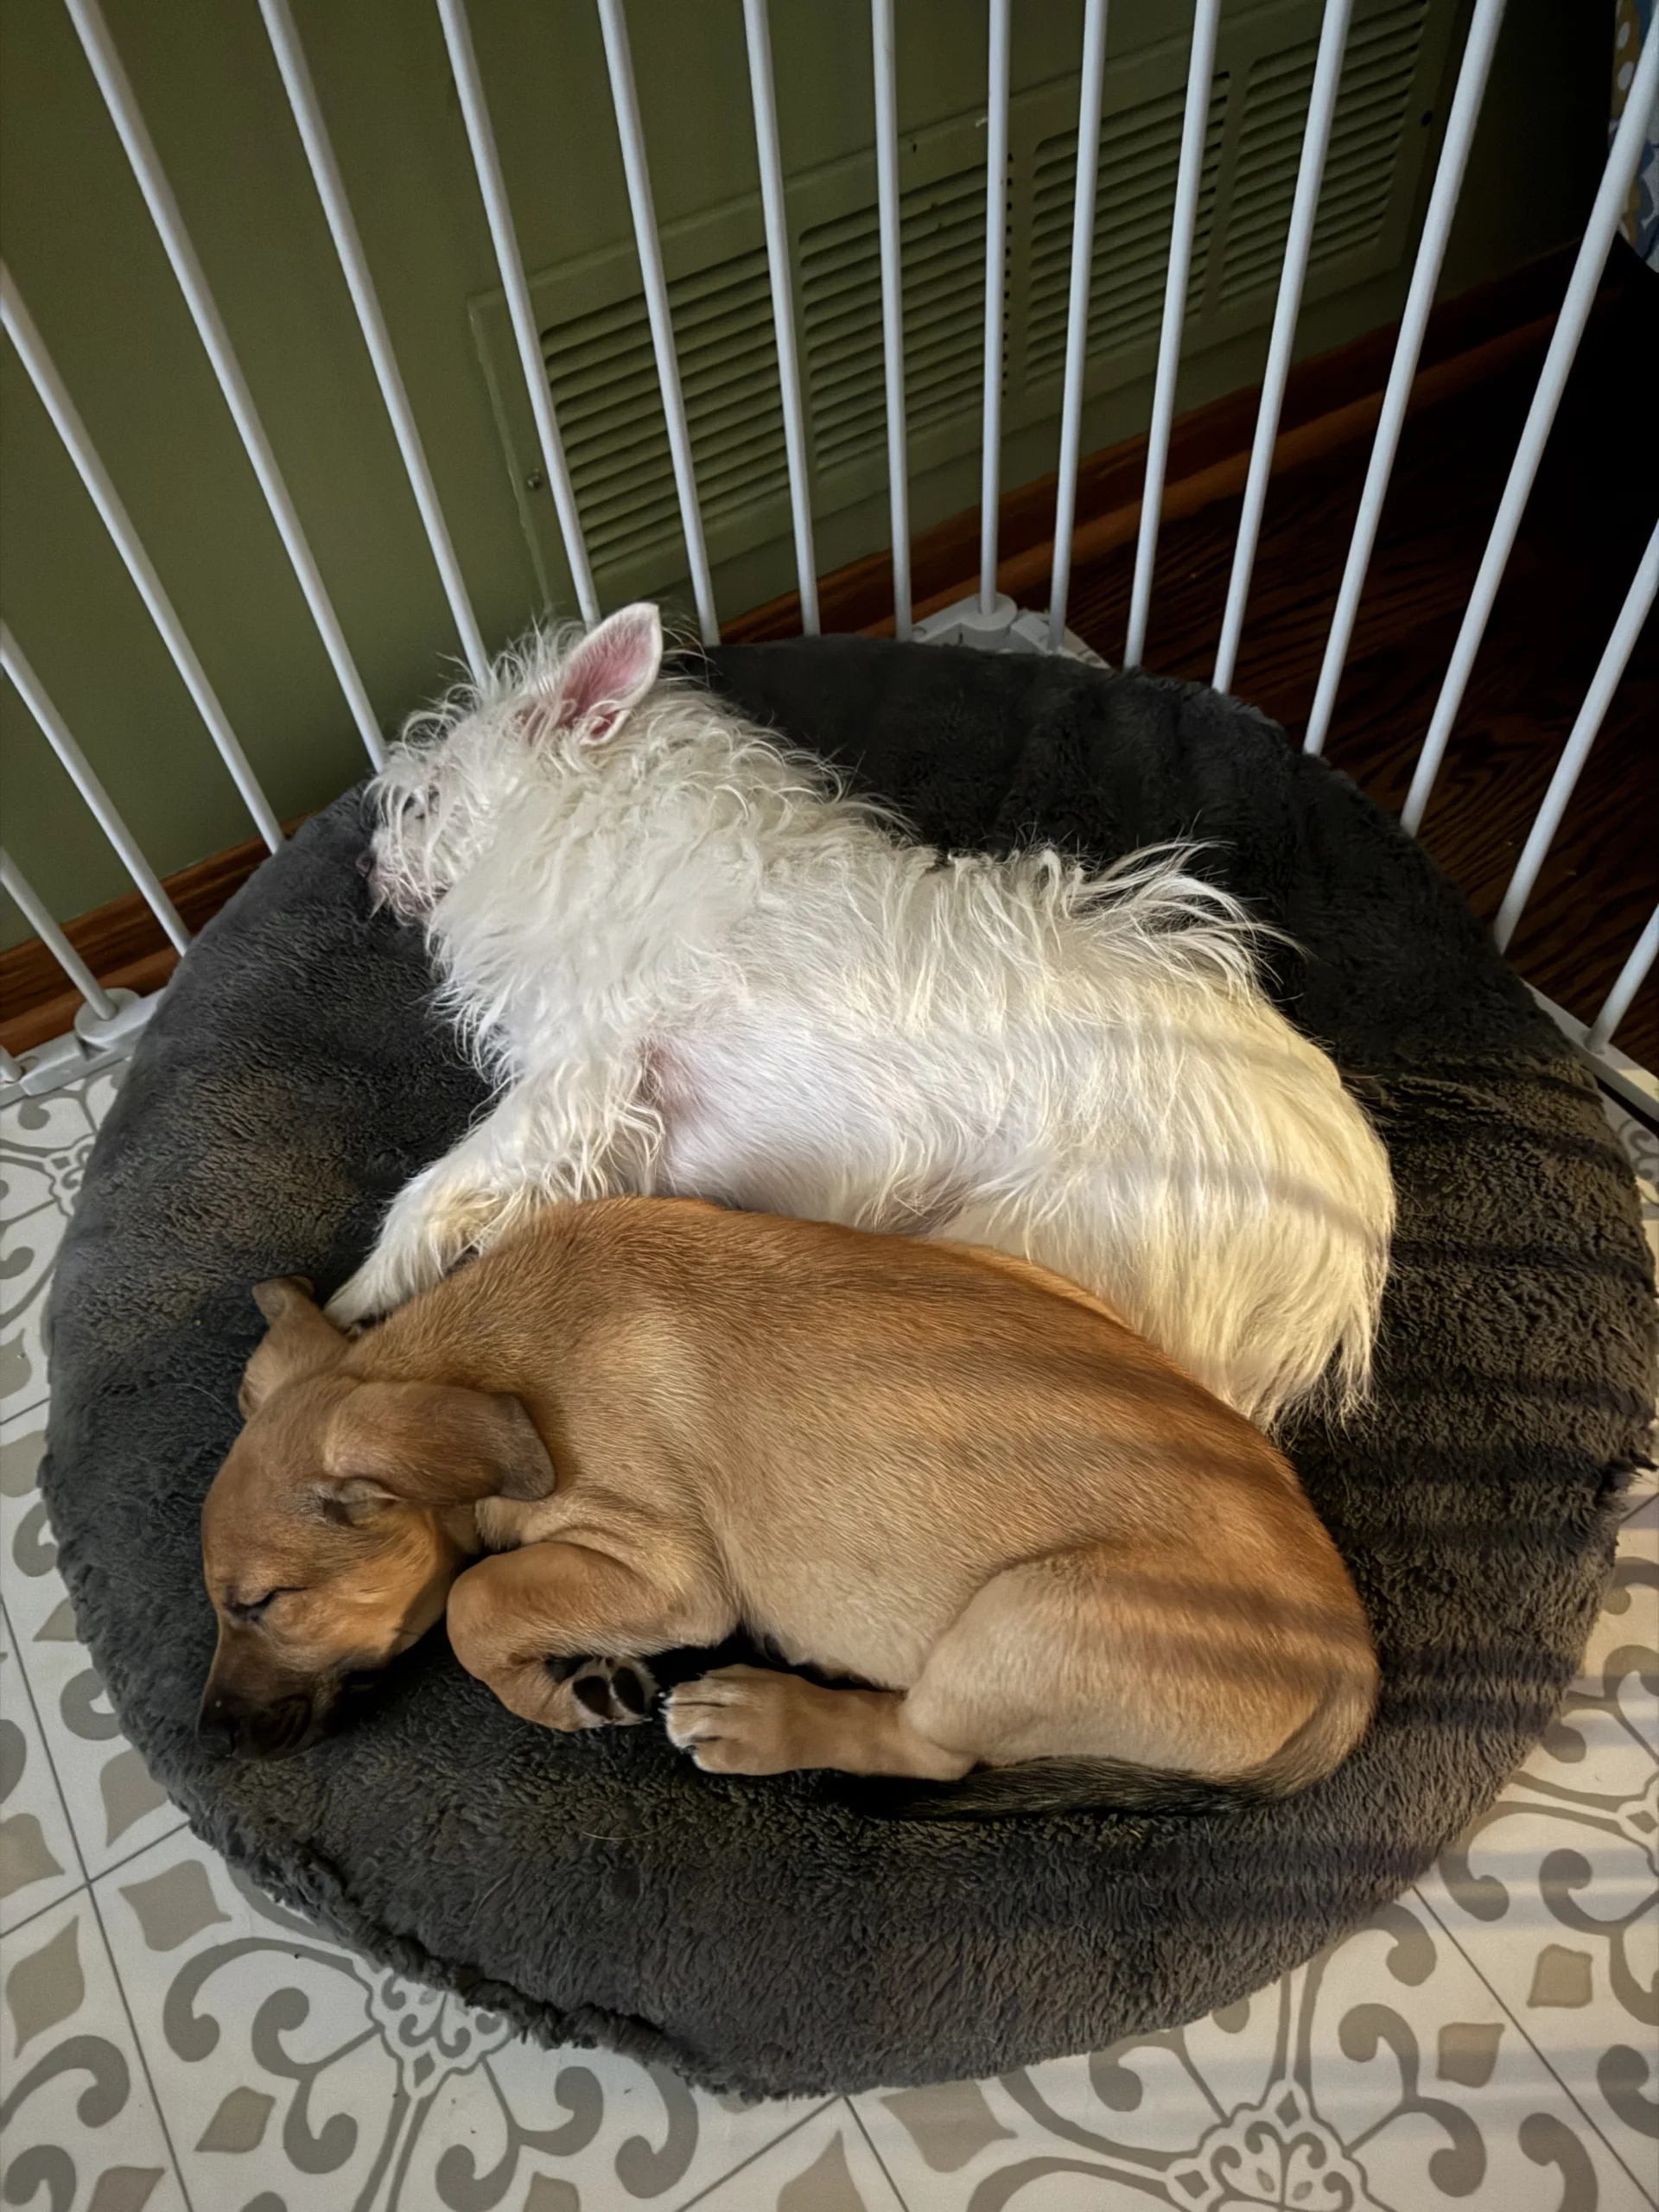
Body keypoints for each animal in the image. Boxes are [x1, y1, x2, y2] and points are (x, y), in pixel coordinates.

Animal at [201, 1200, 1379, 1816]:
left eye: (262, 1602)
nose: (205, 1737)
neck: (471, 1360)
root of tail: (1351, 1665)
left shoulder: (665, 1570)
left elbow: (472, 1604)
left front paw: (558, 1691)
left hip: (1027, 1621)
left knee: (931, 1748)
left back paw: (764, 1717)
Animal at [327, 607, 1393, 1432]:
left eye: (423, 802)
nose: (364, 870)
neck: (596, 831)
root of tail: (1343, 1243)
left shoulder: (579, 1081)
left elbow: (432, 1189)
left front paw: (353, 1302)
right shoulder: (616, 1132)